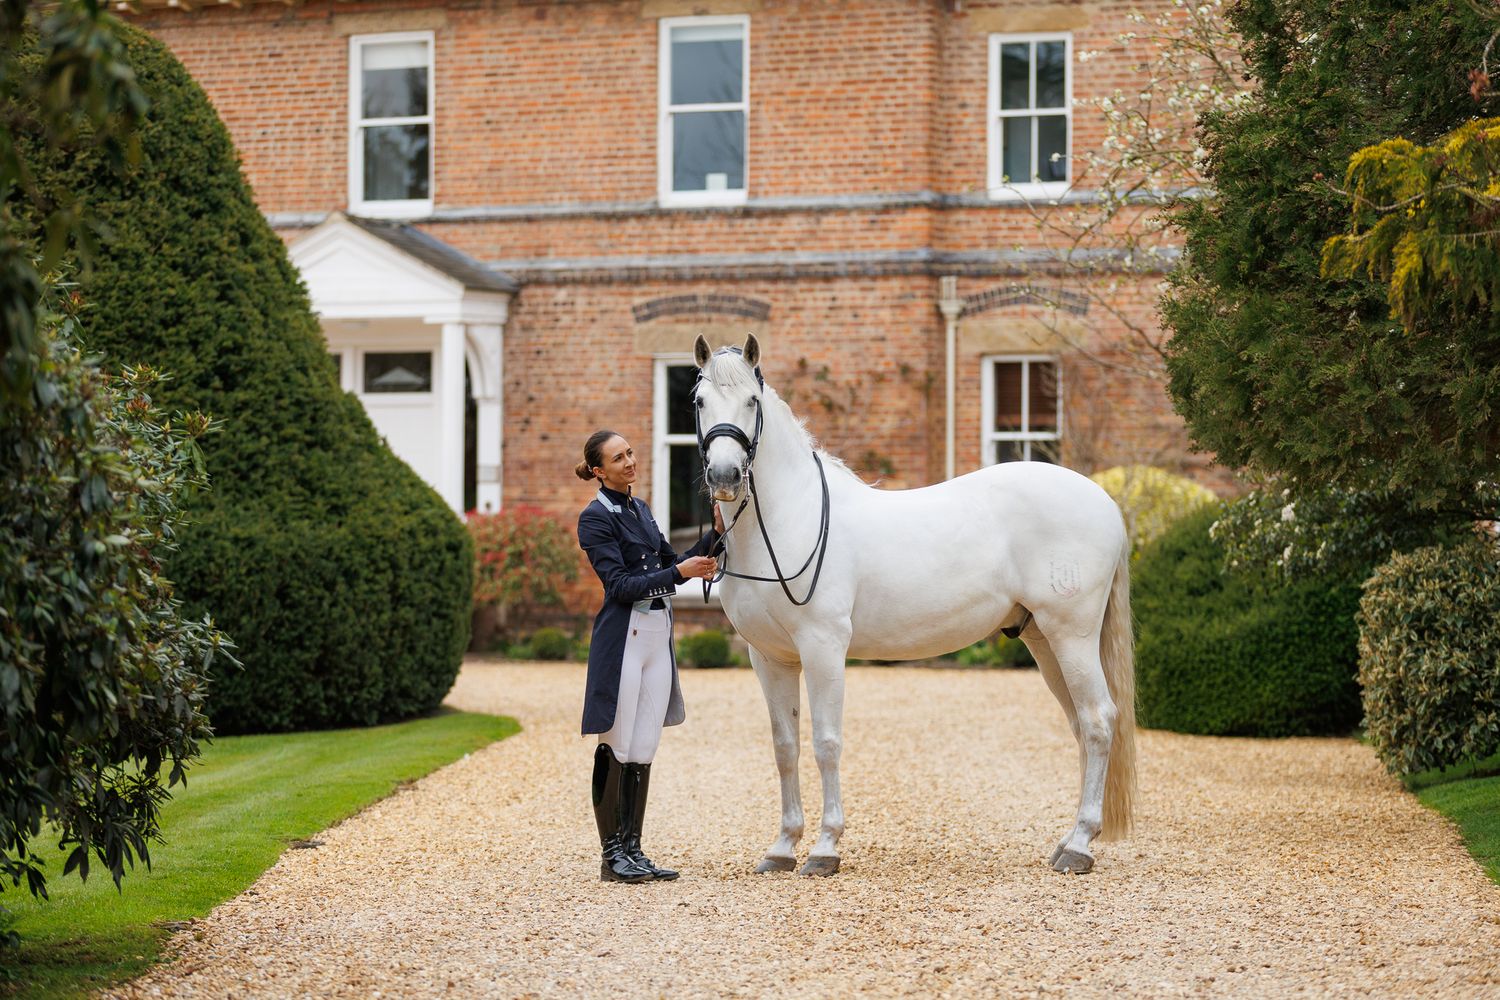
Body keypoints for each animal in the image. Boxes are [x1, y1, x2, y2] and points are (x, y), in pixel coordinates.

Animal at [691, 334, 1136, 876]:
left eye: (752, 402)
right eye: (699, 402)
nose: (726, 475)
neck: (791, 520)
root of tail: (1105, 502)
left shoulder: (823, 648)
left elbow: (826, 742)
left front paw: (824, 848)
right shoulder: (769, 657)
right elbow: (785, 746)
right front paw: (782, 847)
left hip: (1072, 635)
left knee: (1098, 720)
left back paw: (1080, 845)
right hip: (1043, 640)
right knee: (1080, 725)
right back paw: (1070, 838)